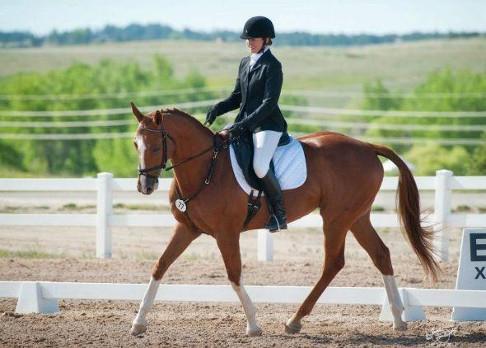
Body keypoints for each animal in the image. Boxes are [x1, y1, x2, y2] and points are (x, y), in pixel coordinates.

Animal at [127, 103, 438, 338]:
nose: (145, 186)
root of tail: (366, 146)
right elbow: (160, 266)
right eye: (135, 144)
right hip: (357, 217)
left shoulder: (226, 233)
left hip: (336, 218)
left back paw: (295, 320)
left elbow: (234, 274)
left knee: (333, 263)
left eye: (155, 146)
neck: (206, 167)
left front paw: (253, 325)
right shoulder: (187, 228)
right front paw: (138, 323)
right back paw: (398, 318)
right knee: (381, 254)